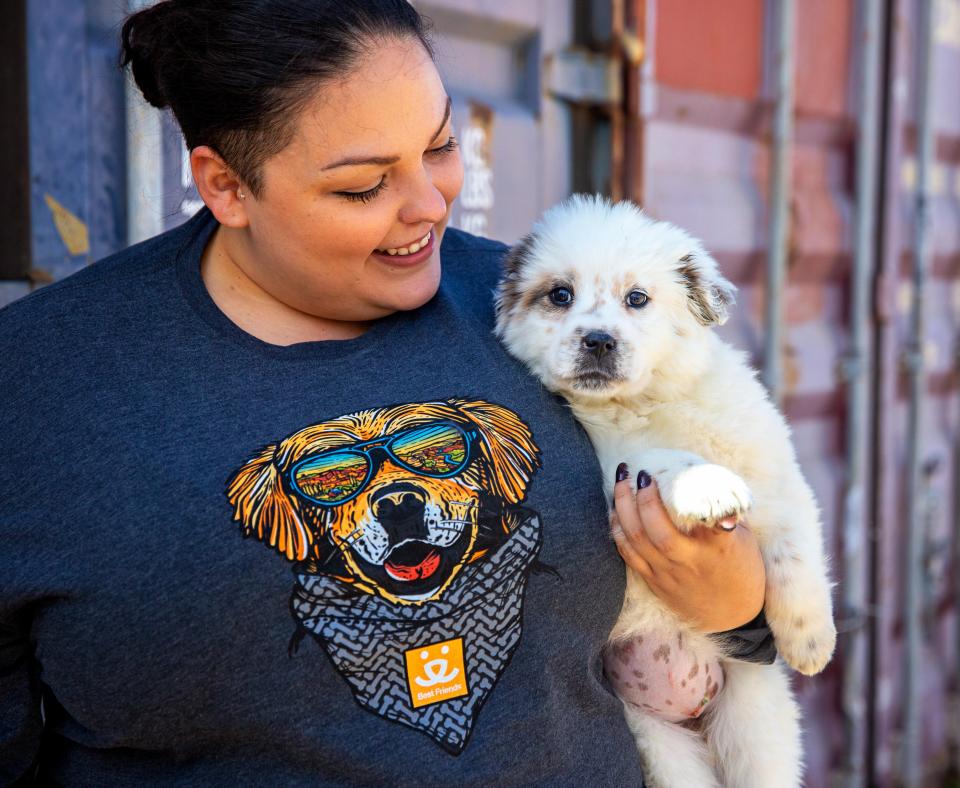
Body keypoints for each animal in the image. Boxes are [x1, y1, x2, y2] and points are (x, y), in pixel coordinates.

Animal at [496, 192, 832, 788]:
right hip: (659, 747)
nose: (598, 341)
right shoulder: (610, 469)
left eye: (637, 299)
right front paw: (707, 487)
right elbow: (657, 459)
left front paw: (811, 641)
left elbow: (797, 552)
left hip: (755, 725)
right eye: (560, 295)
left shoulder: (775, 469)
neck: (647, 401)